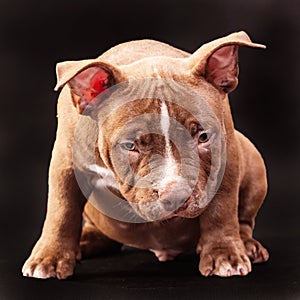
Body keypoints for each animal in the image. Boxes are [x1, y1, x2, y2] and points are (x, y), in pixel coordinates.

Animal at [21, 30, 270, 278]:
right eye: (130, 145)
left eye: (203, 137)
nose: (177, 195)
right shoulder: (65, 164)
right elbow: (61, 210)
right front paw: (50, 258)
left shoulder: (227, 157)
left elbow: (222, 207)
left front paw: (224, 253)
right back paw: (84, 242)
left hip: (252, 159)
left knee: (243, 219)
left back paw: (247, 246)